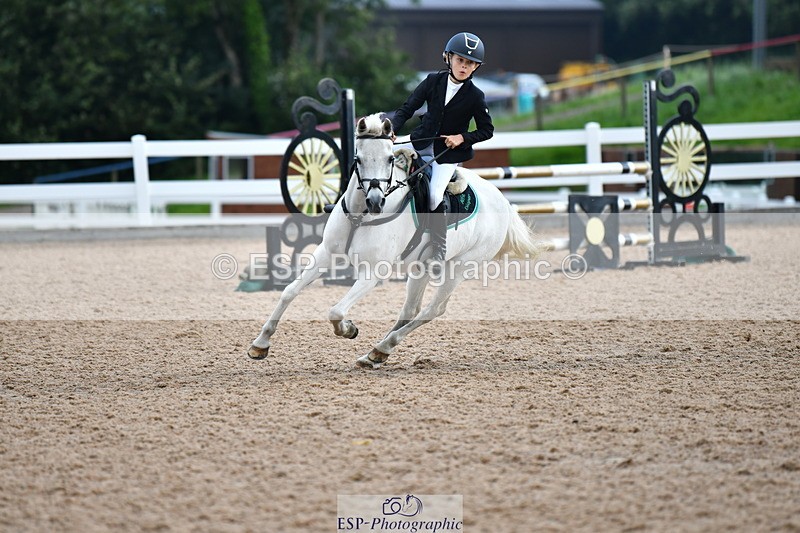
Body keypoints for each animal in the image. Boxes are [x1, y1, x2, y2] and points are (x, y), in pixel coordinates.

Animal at [248, 113, 543, 368]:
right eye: (358, 158)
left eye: (390, 159)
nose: (376, 202)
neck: (360, 215)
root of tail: (502, 199)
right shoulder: (326, 253)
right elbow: (289, 291)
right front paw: (260, 344)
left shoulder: (373, 273)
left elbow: (336, 311)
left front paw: (349, 329)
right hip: (420, 268)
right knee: (411, 309)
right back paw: (375, 354)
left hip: (460, 267)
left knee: (433, 309)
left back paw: (381, 348)